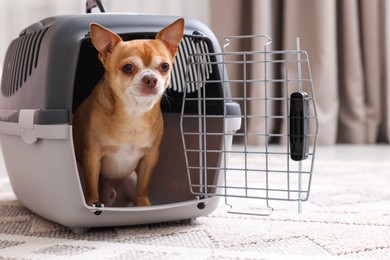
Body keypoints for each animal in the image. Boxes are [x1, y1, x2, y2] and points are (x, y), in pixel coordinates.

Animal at [73, 18, 186, 207]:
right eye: (127, 68)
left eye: (164, 66)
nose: (151, 79)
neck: (133, 113)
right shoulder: (92, 156)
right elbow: (91, 186)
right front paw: (91, 203)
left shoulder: (150, 157)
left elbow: (143, 186)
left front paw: (144, 205)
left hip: (130, 179)